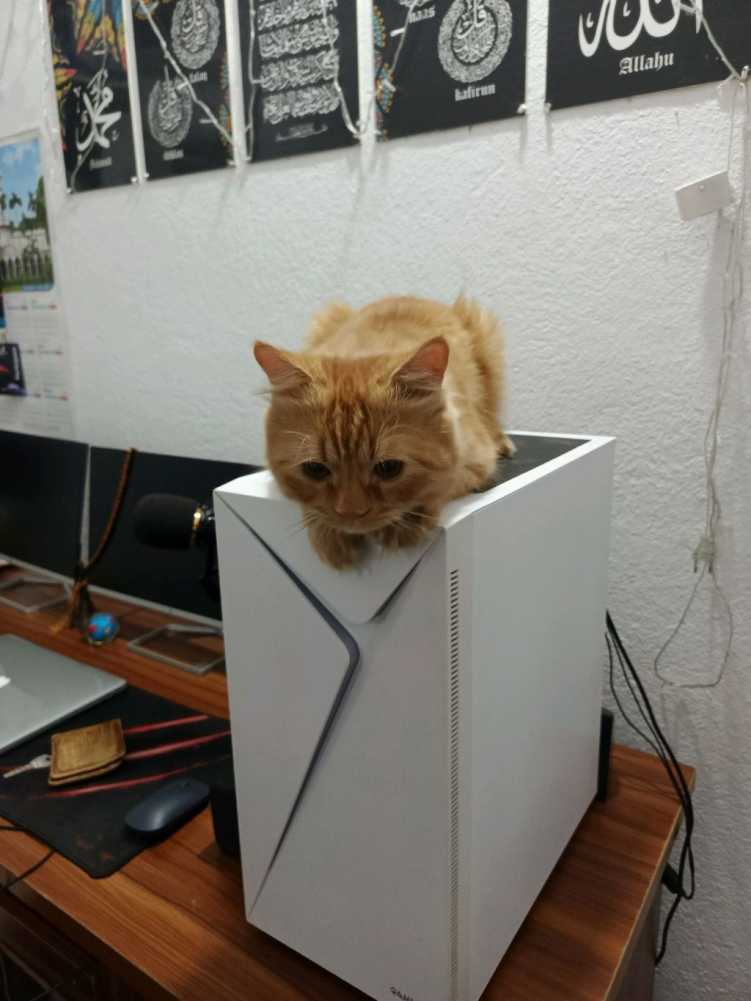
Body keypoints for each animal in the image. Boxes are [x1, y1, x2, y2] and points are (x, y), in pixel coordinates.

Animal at [254, 295, 513, 569]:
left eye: (389, 468)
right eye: (315, 469)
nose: (351, 513)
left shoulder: (477, 461)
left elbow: (437, 488)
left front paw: (403, 528)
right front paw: (329, 538)